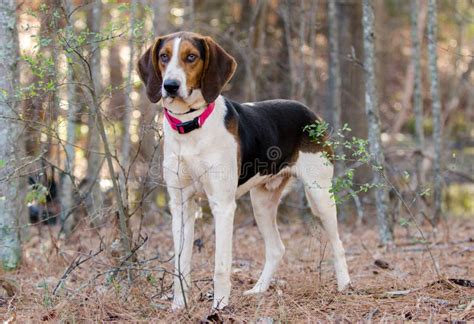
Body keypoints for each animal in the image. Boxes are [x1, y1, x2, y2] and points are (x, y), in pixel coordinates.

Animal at [135, 31, 350, 310]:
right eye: (164, 56)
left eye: (191, 57)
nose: (170, 85)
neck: (190, 125)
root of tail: (309, 111)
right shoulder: (180, 203)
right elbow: (181, 262)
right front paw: (179, 305)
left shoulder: (223, 205)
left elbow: (221, 265)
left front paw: (219, 306)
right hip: (262, 202)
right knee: (277, 248)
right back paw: (259, 289)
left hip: (320, 195)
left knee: (337, 243)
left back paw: (344, 285)